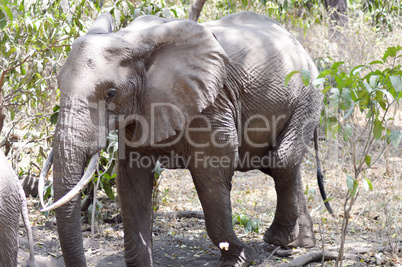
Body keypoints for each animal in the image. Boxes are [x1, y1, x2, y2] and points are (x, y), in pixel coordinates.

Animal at [40, 11, 332, 266]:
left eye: (111, 93)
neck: (132, 40)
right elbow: (132, 179)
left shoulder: (212, 103)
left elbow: (210, 173)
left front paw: (239, 259)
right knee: (280, 164)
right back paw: (298, 243)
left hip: (308, 95)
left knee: (280, 160)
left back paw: (277, 240)